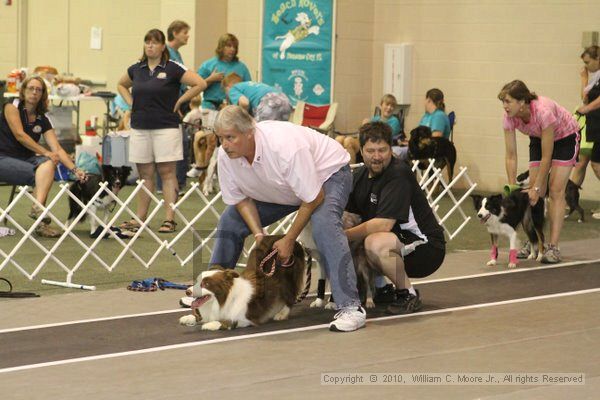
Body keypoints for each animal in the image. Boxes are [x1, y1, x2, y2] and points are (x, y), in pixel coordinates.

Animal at [179, 236, 308, 330]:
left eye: (206, 284)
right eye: (196, 282)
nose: (187, 291)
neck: (222, 300)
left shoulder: (245, 319)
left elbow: (228, 322)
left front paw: (210, 324)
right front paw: (189, 317)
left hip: (287, 282)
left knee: (290, 297)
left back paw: (282, 314)